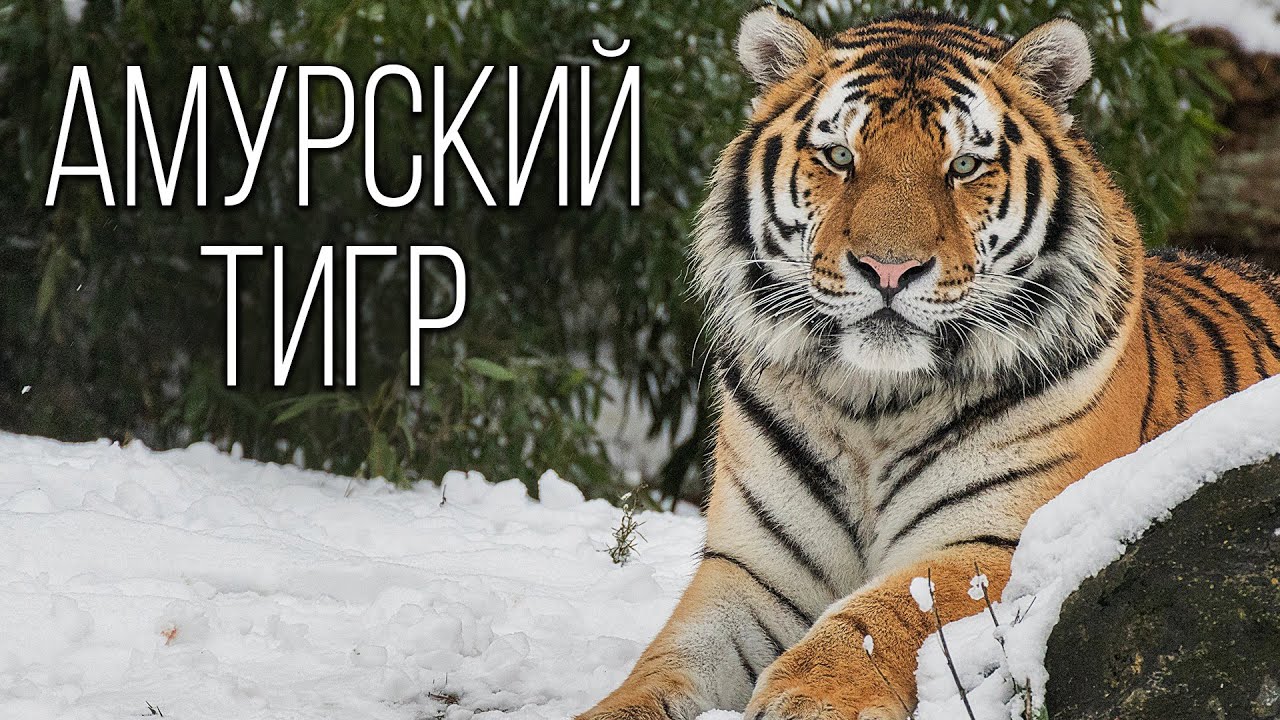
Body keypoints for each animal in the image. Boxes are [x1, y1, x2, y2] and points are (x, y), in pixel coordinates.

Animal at [577, 7, 1280, 720]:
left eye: (964, 165)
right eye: (840, 157)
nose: (889, 270)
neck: (868, 401)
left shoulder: (1005, 540)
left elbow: (881, 613)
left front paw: (810, 697)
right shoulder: (752, 570)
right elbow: (666, 664)